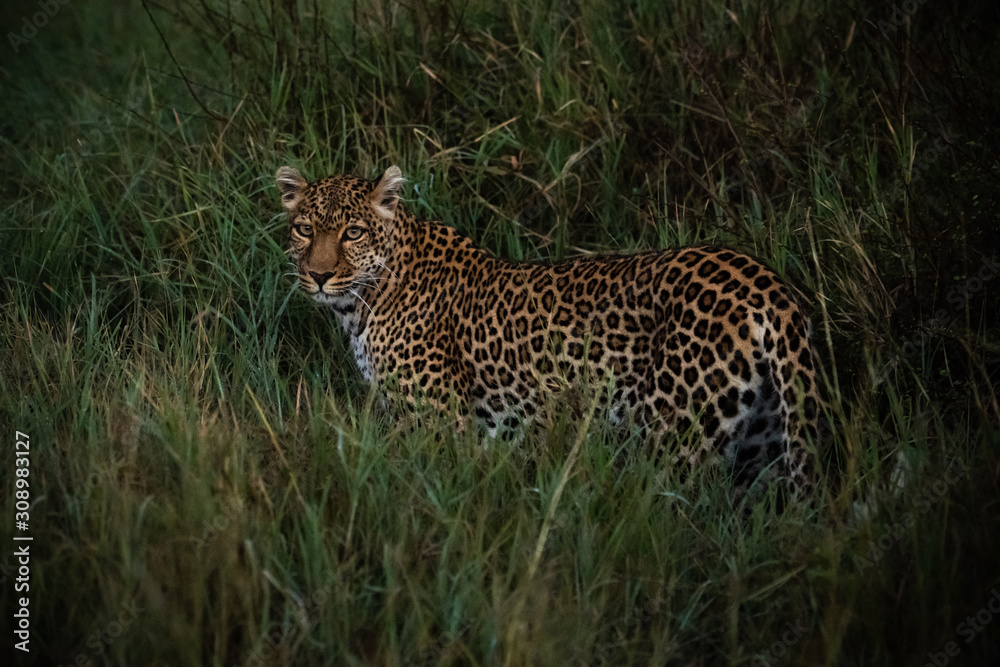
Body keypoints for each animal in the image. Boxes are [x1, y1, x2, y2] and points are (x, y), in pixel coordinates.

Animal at [275, 164, 822, 499]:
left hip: (673, 440)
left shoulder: (437, 425)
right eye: (304, 229)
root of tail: (767, 284)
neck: (362, 303)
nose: (318, 275)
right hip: (764, 443)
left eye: (353, 233)